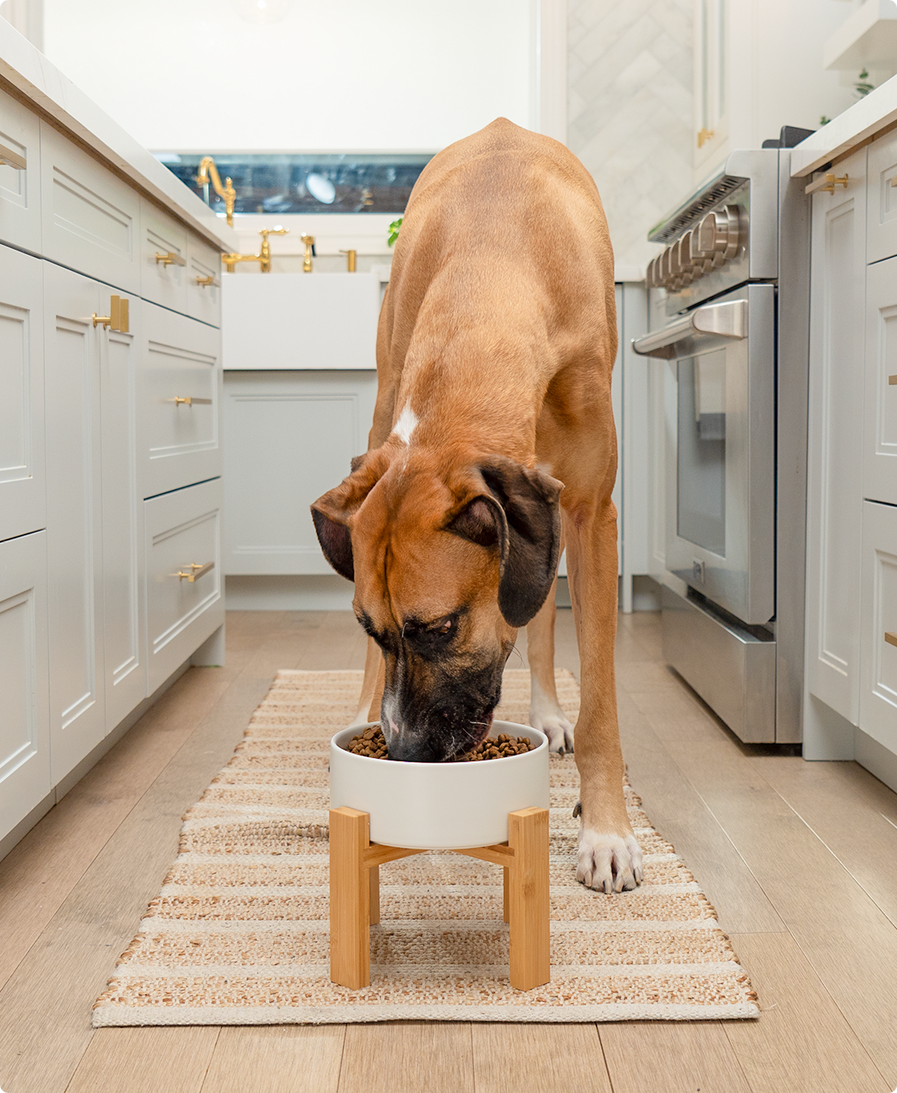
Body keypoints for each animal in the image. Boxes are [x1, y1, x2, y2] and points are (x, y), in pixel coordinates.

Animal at [312, 117, 642, 896]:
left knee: (544, 620)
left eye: (441, 628)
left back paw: (550, 712)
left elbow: (601, 700)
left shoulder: (590, 514)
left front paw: (606, 829)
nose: (401, 752)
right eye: (370, 628)